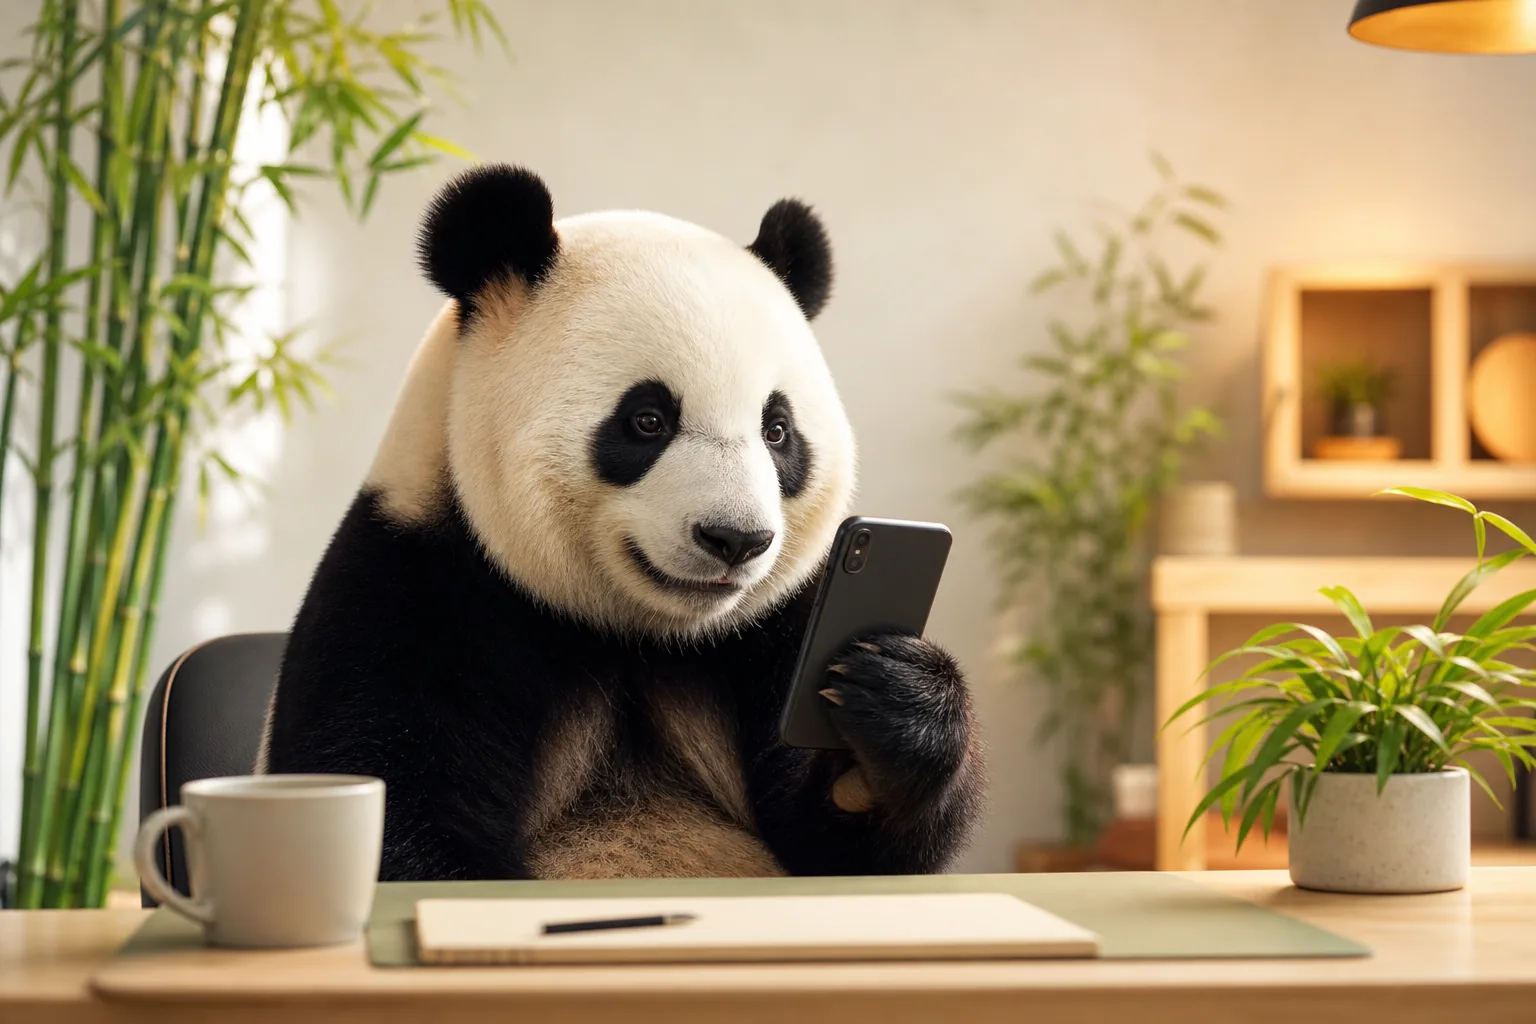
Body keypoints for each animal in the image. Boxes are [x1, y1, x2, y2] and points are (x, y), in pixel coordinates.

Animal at [258, 165, 985, 880]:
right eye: (648, 420)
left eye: (778, 430)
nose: (736, 540)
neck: (636, 633)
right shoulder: (414, 591)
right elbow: (395, 805)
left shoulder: (779, 623)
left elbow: (837, 848)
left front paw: (885, 723)